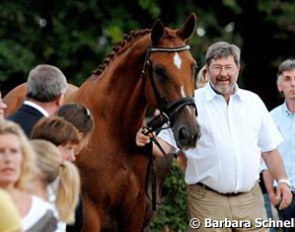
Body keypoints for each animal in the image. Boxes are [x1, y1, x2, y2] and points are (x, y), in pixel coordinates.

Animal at [3, 13, 200, 231]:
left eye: (193, 66)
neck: (115, 131)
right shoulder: (91, 212)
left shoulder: (133, 212)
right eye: (159, 70)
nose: (189, 132)